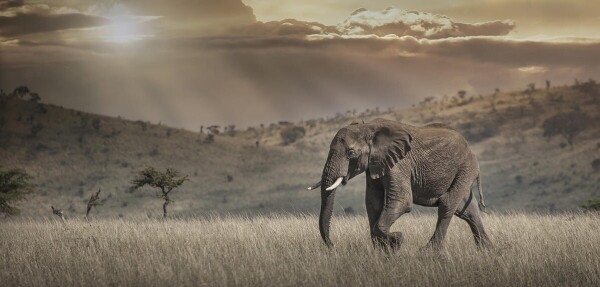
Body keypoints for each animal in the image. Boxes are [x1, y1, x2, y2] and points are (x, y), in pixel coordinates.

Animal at [310, 118, 492, 250]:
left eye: (351, 152)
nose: (333, 245)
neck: (369, 127)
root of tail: (469, 147)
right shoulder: (374, 165)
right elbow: (372, 202)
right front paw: (384, 250)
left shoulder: (400, 163)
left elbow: (402, 201)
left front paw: (397, 239)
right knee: (468, 210)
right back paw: (487, 250)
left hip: (466, 167)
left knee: (448, 203)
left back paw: (428, 251)